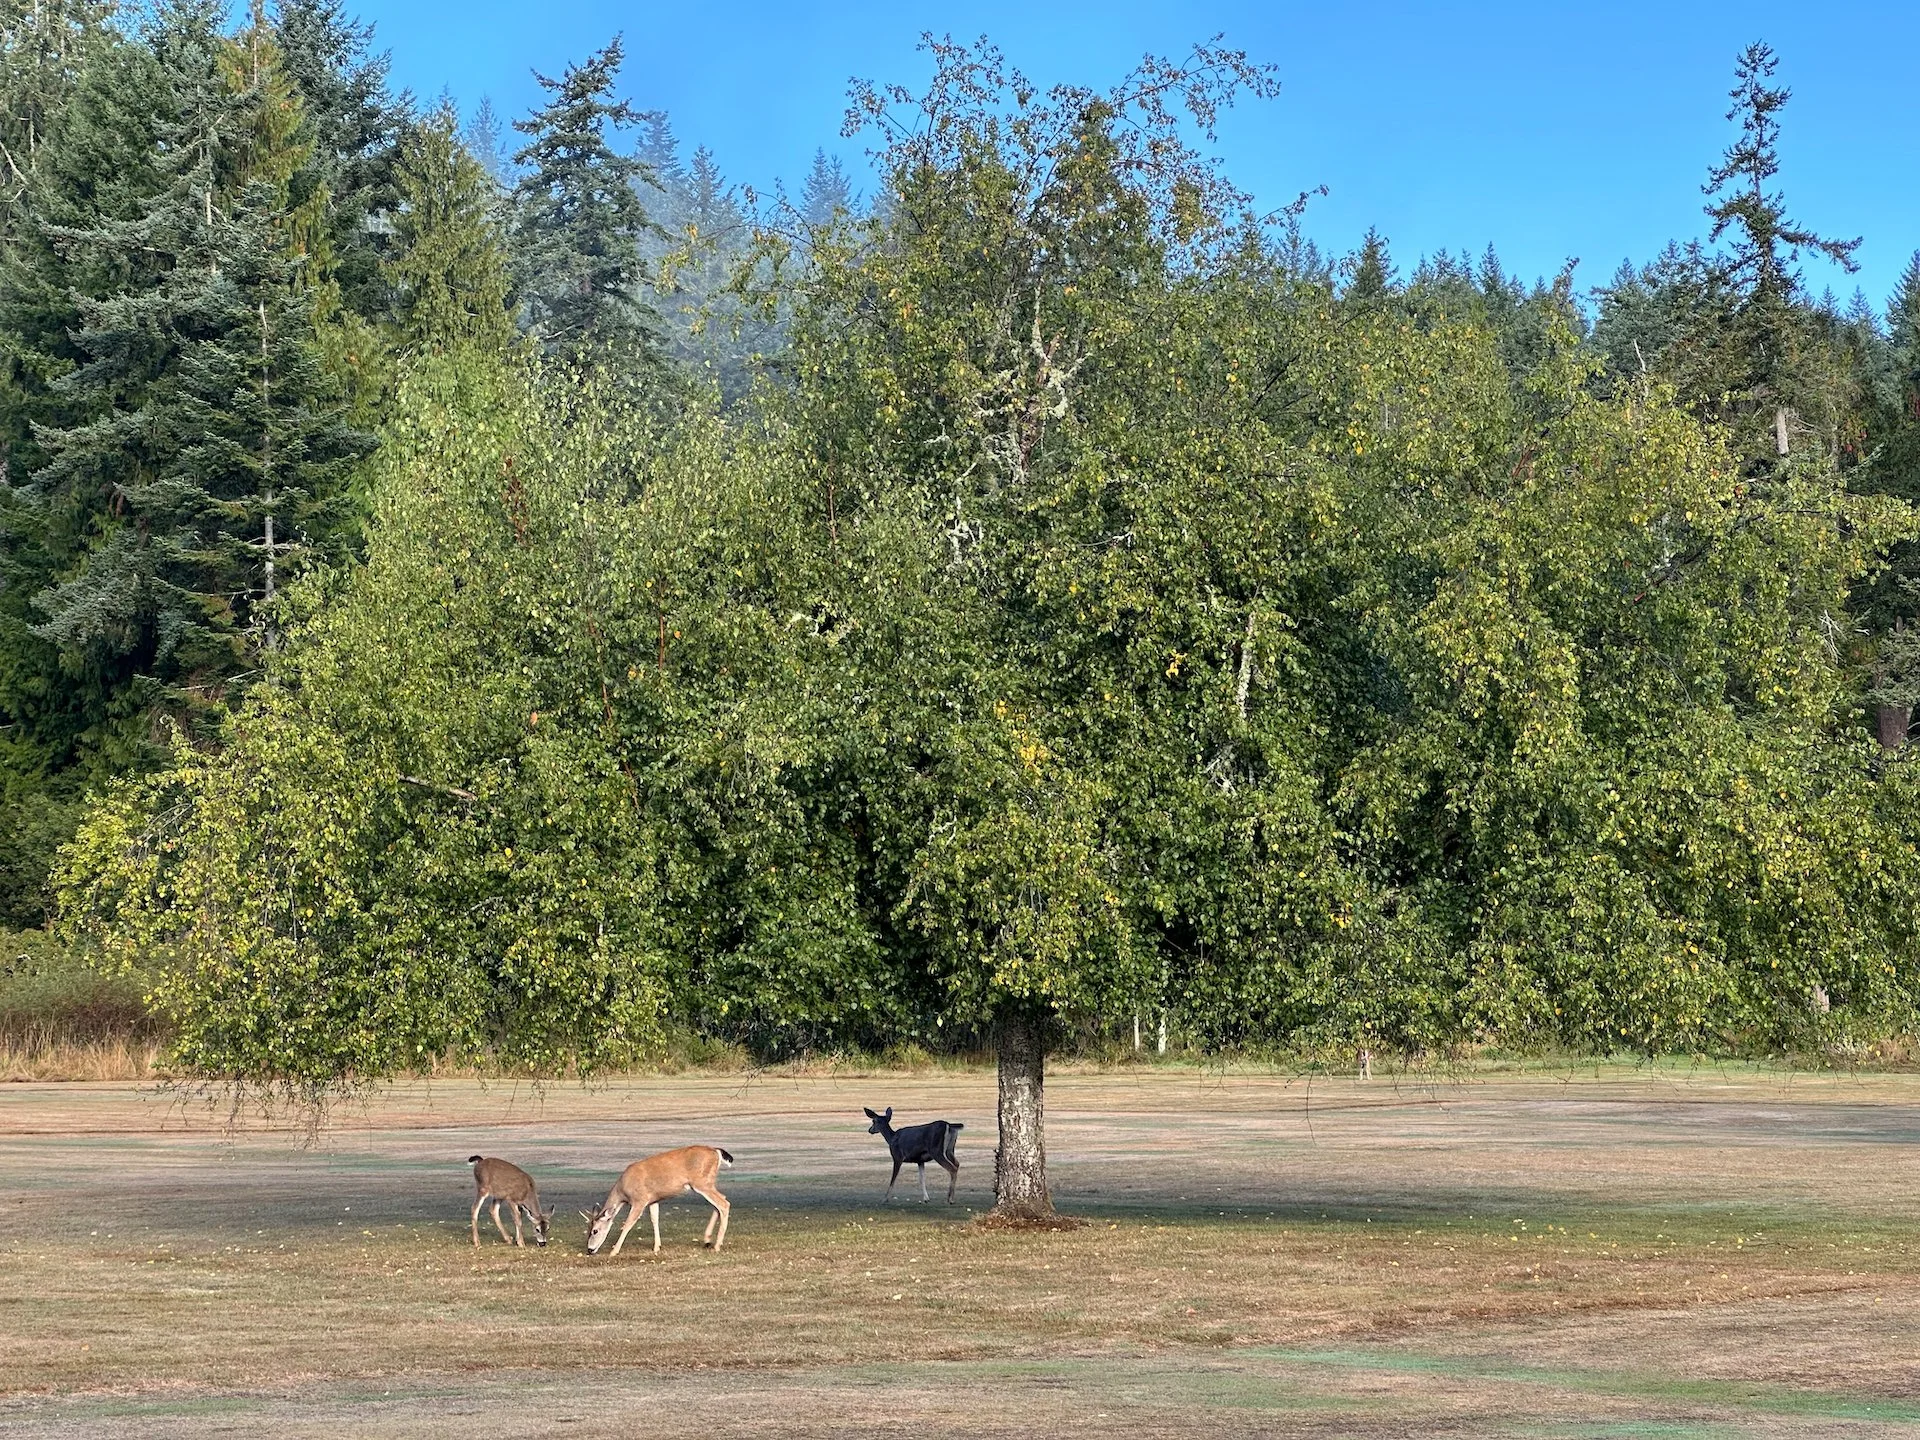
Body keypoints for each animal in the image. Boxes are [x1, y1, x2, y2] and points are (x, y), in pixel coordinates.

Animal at [581, 1145, 733, 1256]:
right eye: (587, 1229)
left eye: (594, 1231)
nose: (590, 1250)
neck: (623, 1190)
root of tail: (716, 1152)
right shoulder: (653, 1200)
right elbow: (655, 1219)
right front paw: (656, 1247)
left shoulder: (640, 1199)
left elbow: (628, 1223)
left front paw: (614, 1251)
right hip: (707, 1183)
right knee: (721, 1200)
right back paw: (707, 1240)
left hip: (702, 1183)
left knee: (724, 1203)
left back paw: (717, 1246)